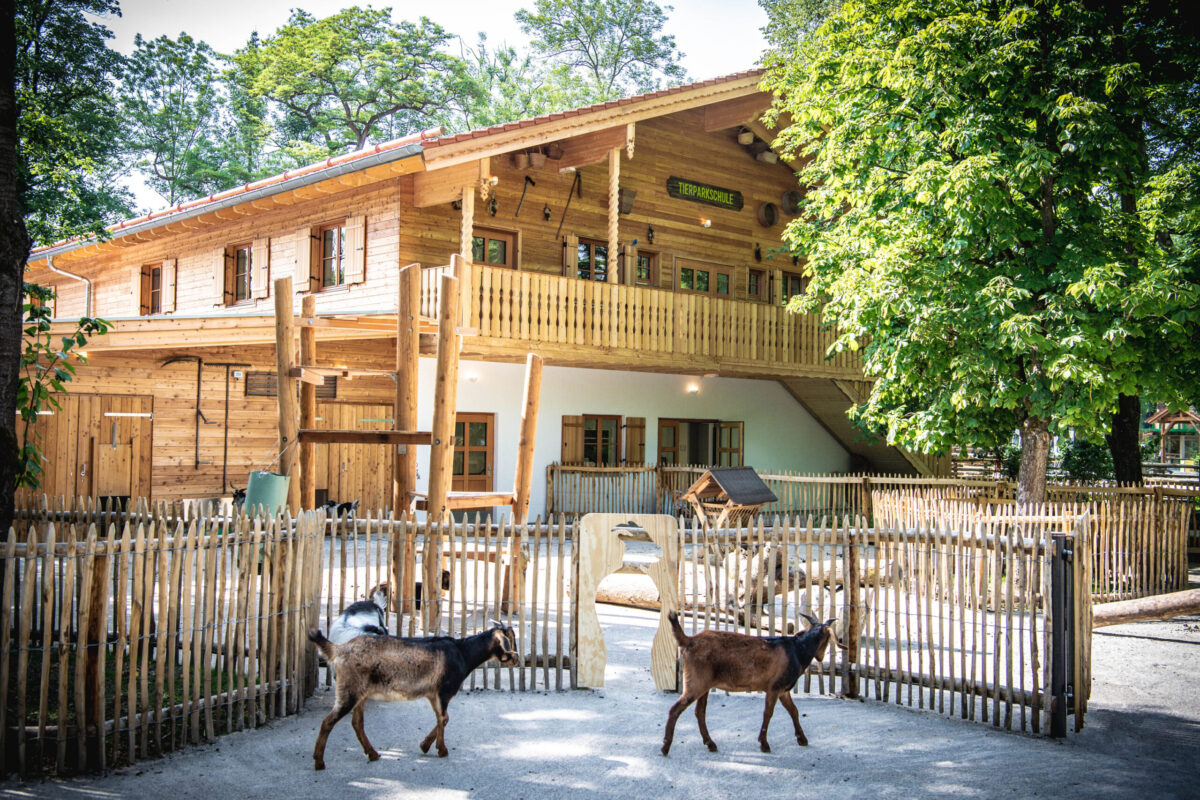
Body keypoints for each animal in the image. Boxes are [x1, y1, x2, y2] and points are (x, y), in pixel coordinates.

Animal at [307, 623, 513, 767]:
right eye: (509, 640)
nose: (515, 658)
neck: (463, 652)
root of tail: (338, 649)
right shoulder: (444, 691)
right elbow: (443, 719)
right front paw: (442, 750)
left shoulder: (433, 694)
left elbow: (443, 719)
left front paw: (425, 745)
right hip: (349, 691)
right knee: (328, 722)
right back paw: (319, 761)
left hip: (360, 694)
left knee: (357, 723)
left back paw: (372, 754)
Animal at [662, 614, 840, 758]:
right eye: (827, 640)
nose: (820, 657)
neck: (797, 650)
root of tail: (689, 640)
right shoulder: (774, 687)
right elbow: (768, 713)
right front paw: (764, 744)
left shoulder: (783, 690)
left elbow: (794, 711)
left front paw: (802, 739)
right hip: (696, 683)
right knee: (675, 709)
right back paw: (665, 747)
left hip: (704, 686)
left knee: (700, 712)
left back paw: (710, 744)